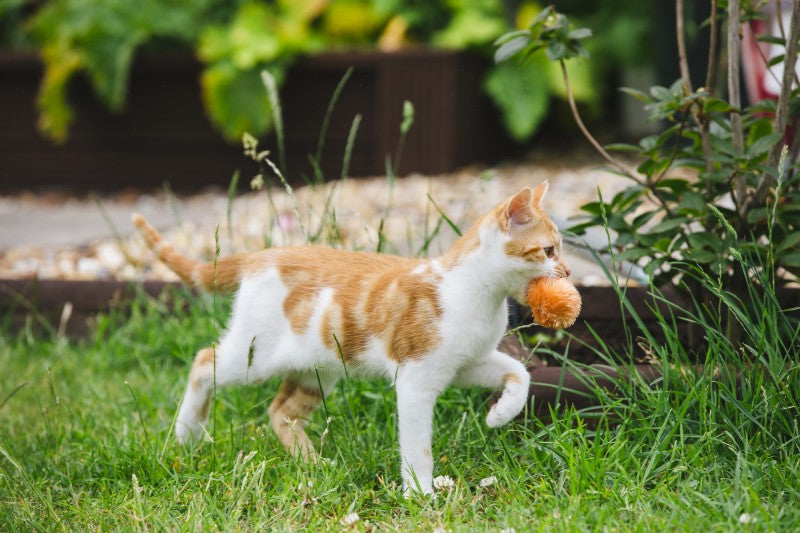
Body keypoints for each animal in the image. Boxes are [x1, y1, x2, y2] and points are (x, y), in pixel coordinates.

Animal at [133, 183, 568, 494]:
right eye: (548, 250)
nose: (566, 272)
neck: (475, 291)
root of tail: (262, 254)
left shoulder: (467, 364)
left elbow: (519, 373)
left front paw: (500, 414)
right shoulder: (415, 379)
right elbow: (418, 447)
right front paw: (420, 495)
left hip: (318, 369)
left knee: (281, 411)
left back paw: (313, 465)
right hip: (254, 357)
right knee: (204, 361)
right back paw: (188, 432)